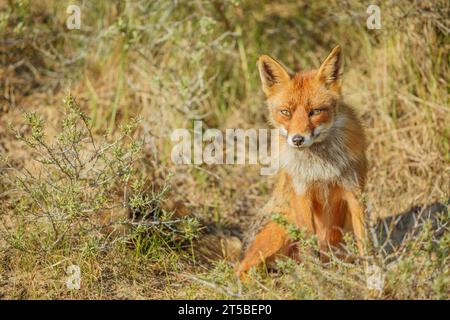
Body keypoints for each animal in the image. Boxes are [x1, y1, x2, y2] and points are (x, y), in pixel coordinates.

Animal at [237, 46, 368, 278]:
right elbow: (310, 248)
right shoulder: (302, 194)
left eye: (315, 111)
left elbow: (366, 245)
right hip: (282, 227)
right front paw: (316, 279)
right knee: (241, 270)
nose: (297, 139)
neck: (321, 167)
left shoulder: (354, 192)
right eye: (286, 112)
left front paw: (374, 278)